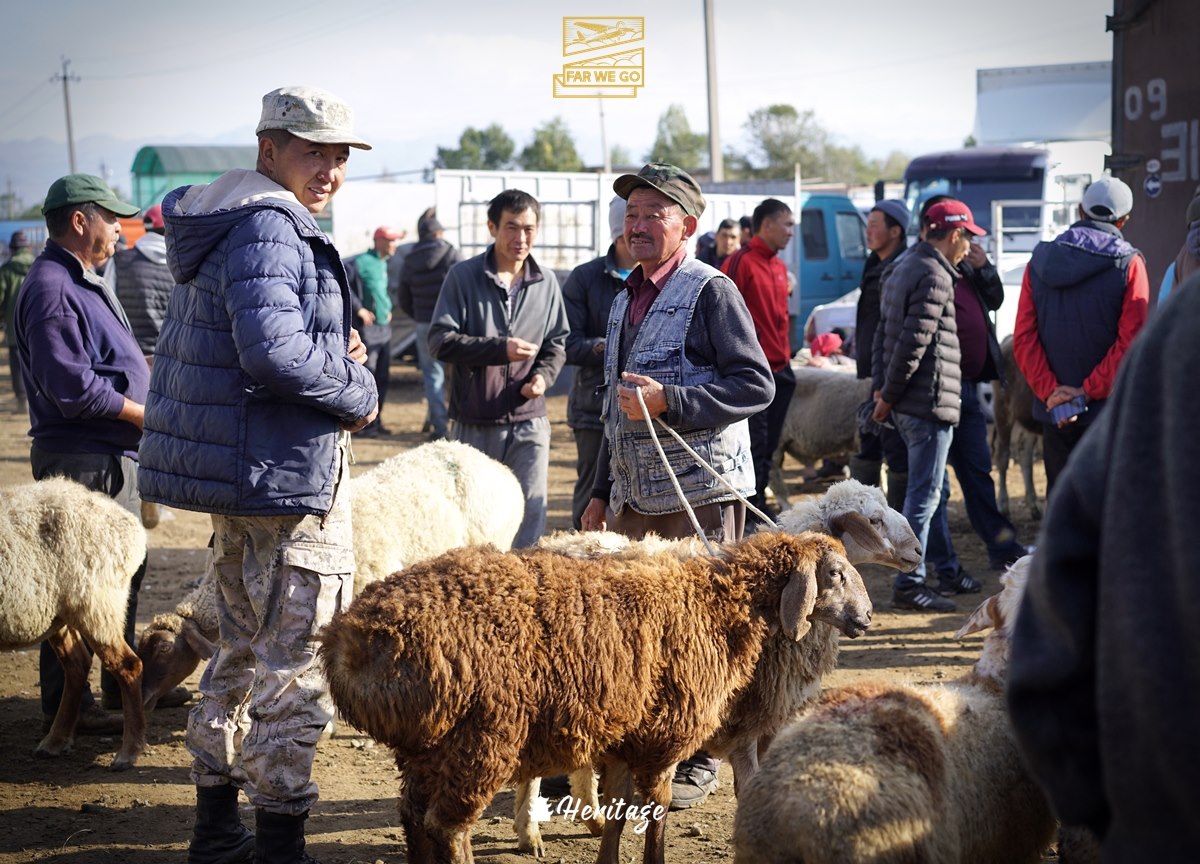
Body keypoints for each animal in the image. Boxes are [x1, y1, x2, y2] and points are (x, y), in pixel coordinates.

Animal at [0, 480, 147, 768]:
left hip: (96, 604)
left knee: (127, 665)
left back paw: (128, 752)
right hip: (58, 614)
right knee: (77, 663)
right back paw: (55, 741)